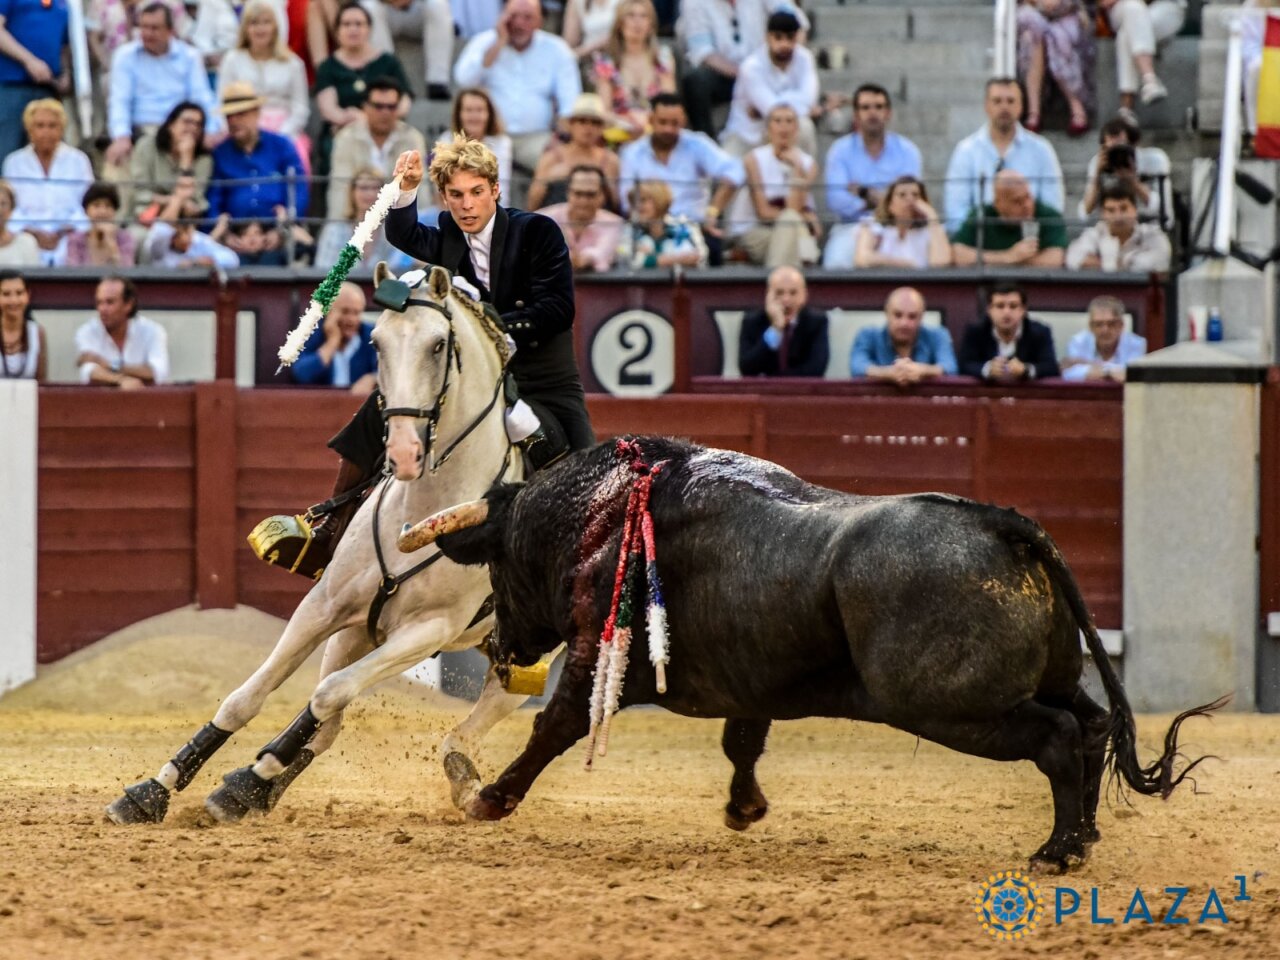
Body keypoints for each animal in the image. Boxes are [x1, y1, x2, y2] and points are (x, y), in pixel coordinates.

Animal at [105, 263, 530, 825]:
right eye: (376, 343)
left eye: (439, 345)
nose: (403, 451)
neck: (425, 509)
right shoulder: (325, 606)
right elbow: (248, 696)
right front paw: (153, 790)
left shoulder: (427, 629)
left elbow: (329, 693)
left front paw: (247, 777)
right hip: (359, 633)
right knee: (329, 730)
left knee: (471, 719)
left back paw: (461, 777)